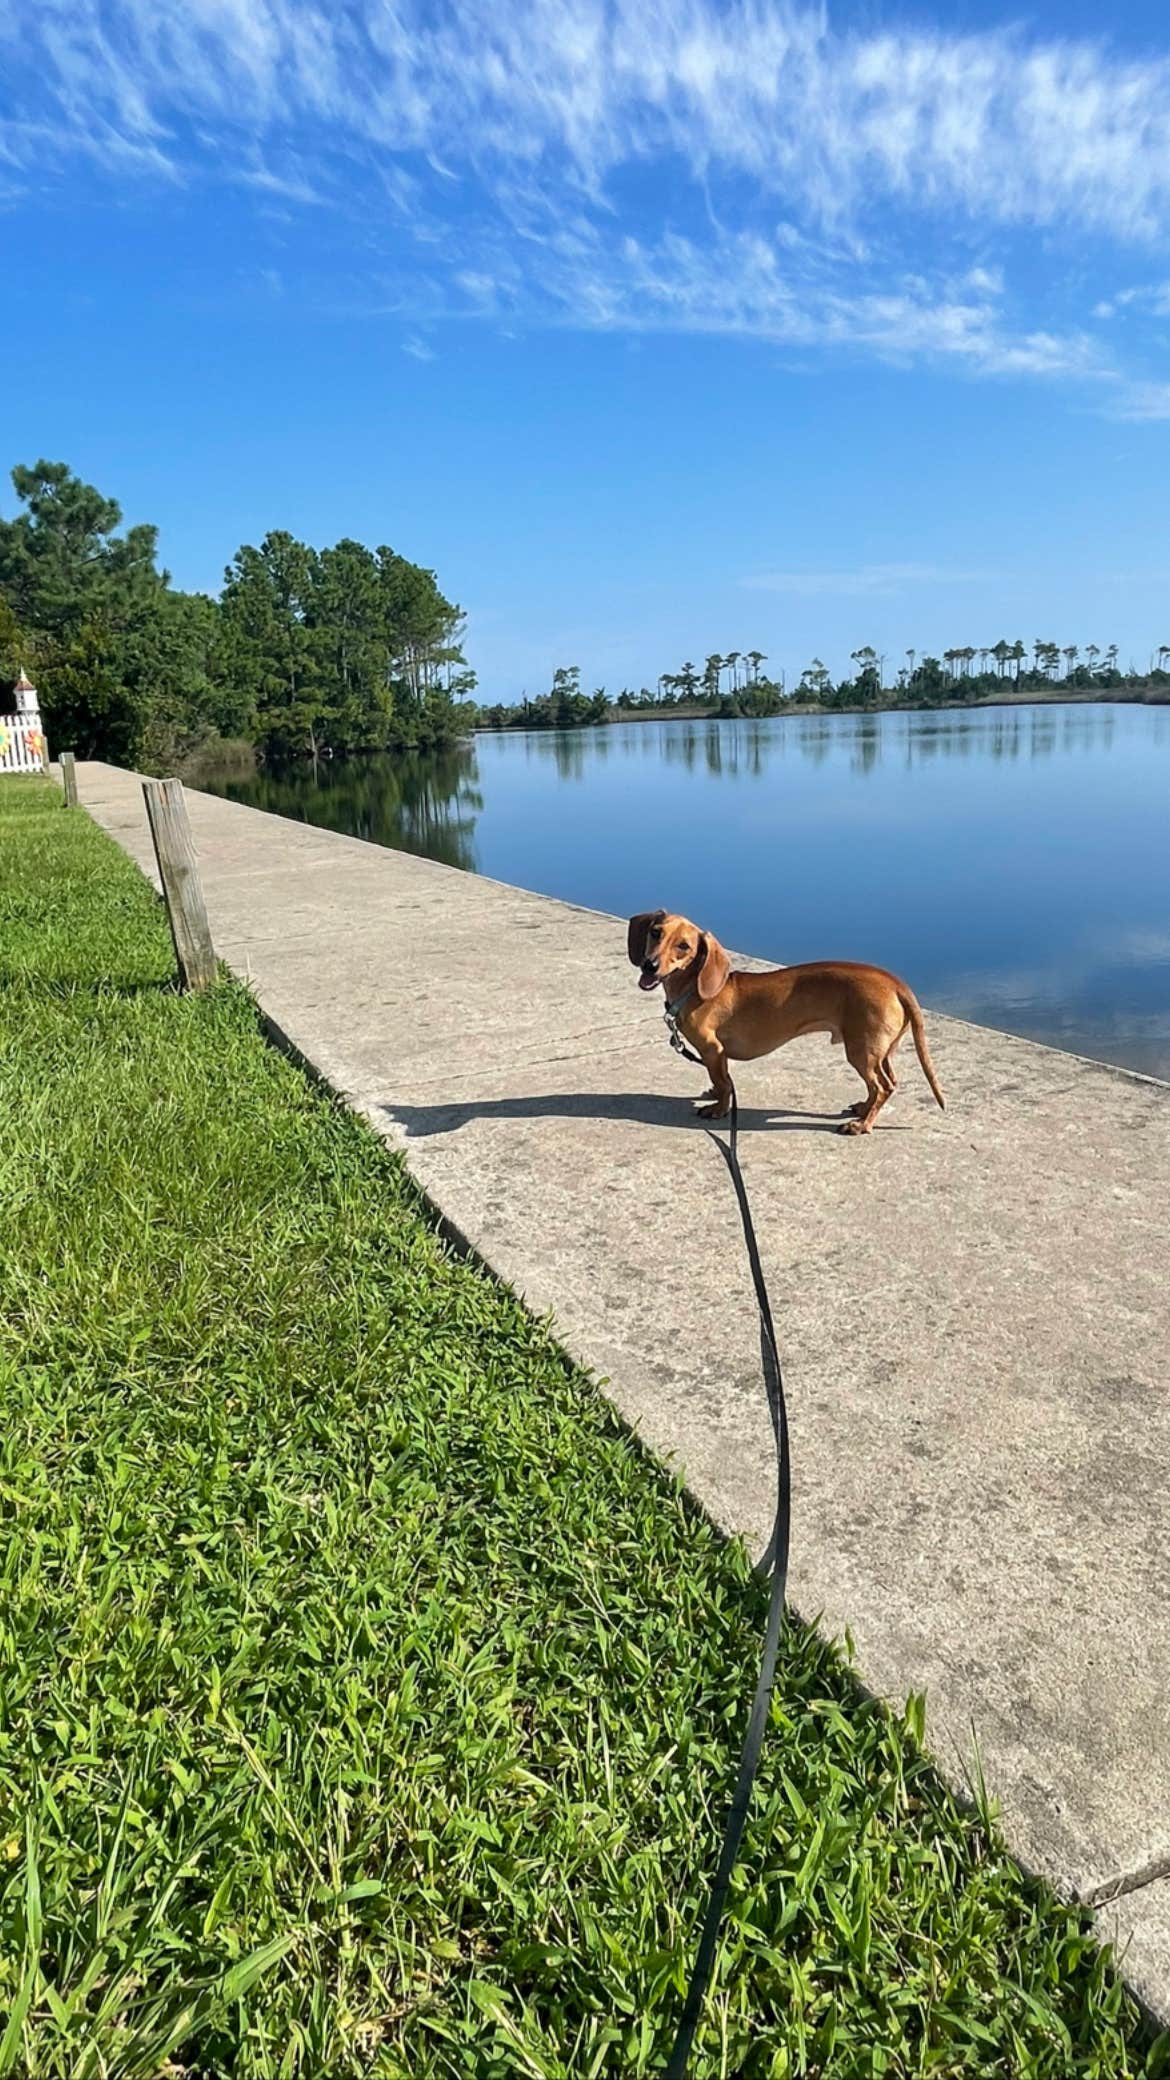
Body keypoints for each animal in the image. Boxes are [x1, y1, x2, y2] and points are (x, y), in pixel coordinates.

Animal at [624, 911, 940, 1139]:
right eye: (655, 932)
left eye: (684, 946)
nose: (650, 965)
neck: (693, 989)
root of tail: (894, 982)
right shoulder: (715, 1056)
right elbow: (720, 1081)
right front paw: (713, 1094)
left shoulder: (714, 1049)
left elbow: (724, 1083)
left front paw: (719, 1109)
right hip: (880, 1052)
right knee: (884, 1085)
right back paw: (863, 1110)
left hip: (861, 1052)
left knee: (883, 1087)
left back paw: (861, 1125)